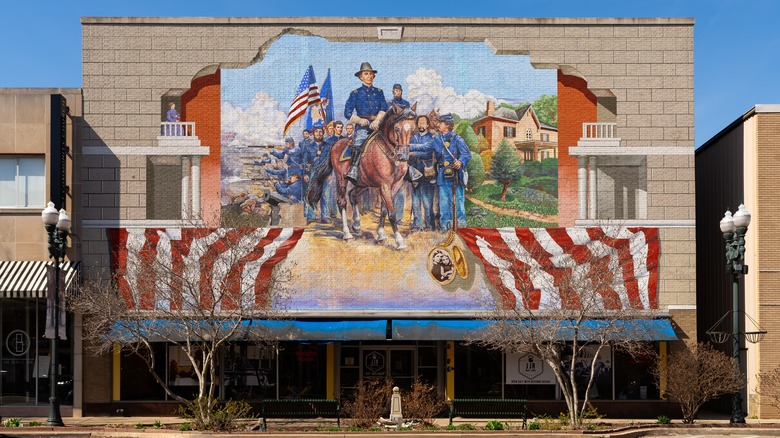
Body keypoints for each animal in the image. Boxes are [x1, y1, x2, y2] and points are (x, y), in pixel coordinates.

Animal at [308, 100, 418, 248]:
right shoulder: (384, 185)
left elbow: (384, 210)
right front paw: (399, 241)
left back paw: (356, 225)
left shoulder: (395, 185)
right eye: (397, 129)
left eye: (412, 129)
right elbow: (392, 212)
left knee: (352, 195)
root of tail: (335, 145)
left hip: (362, 183)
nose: (403, 156)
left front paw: (381, 235)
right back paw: (347, 234)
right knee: (342, 201)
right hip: (341, 179)